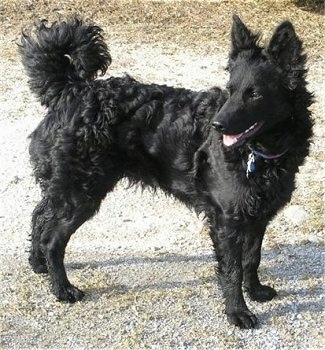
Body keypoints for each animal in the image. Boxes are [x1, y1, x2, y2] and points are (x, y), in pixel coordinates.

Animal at [19, 16, 312, 328]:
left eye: (254, 93)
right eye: (230, 89)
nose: (217, 126)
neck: (258, 153)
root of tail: (73, 91)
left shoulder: (258, 216)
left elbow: (252, 259)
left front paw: (255, 291)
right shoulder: (228, 221)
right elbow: (232, 270)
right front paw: (237, 311)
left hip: (66, 188)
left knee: (39, 216)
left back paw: (38, 264)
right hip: (80, 193)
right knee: (52, 238)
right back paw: (62, 288)